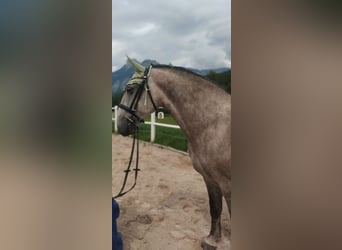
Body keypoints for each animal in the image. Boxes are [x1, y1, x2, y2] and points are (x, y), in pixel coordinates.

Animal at [116, 57, 231, 250]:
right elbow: (215, 208)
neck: (214, 124)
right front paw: (211, 241)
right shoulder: (210, 178)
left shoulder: (227, 183)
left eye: (130, 89)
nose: (120, 125)